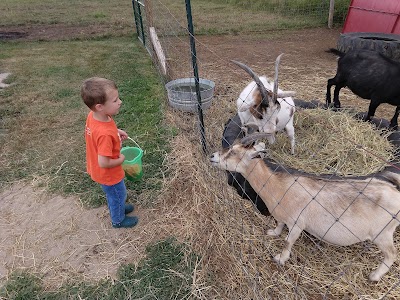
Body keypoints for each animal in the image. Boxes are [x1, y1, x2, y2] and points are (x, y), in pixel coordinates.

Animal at [209, 143, 400, 282]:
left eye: (233, 152)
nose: (212, 156)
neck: (278, 186)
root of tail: (394, 191)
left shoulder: (297, 223)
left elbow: (288, 241)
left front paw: (280, 258)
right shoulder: (283, 216)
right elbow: (279, 223)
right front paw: (273, 232)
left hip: (383, 233)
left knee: (391, 254)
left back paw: (374, 276)